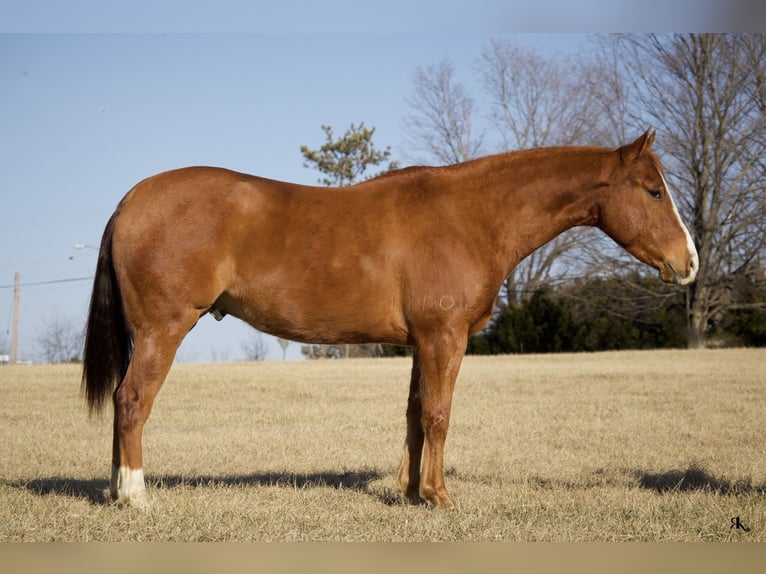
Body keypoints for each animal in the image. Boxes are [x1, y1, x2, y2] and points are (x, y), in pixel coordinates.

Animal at [84, 129, 704, 508]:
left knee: (120, 400)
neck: (470, 215)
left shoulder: (421, 341)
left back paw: (115, 491)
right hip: (164, 329)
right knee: (133, 400)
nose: (690, 263)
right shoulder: (445, 338)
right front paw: (439, 496)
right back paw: (136, 495)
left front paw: (409, 492)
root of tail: (131, 200)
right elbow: (438, 415)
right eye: (653, 191)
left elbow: (413, 414)